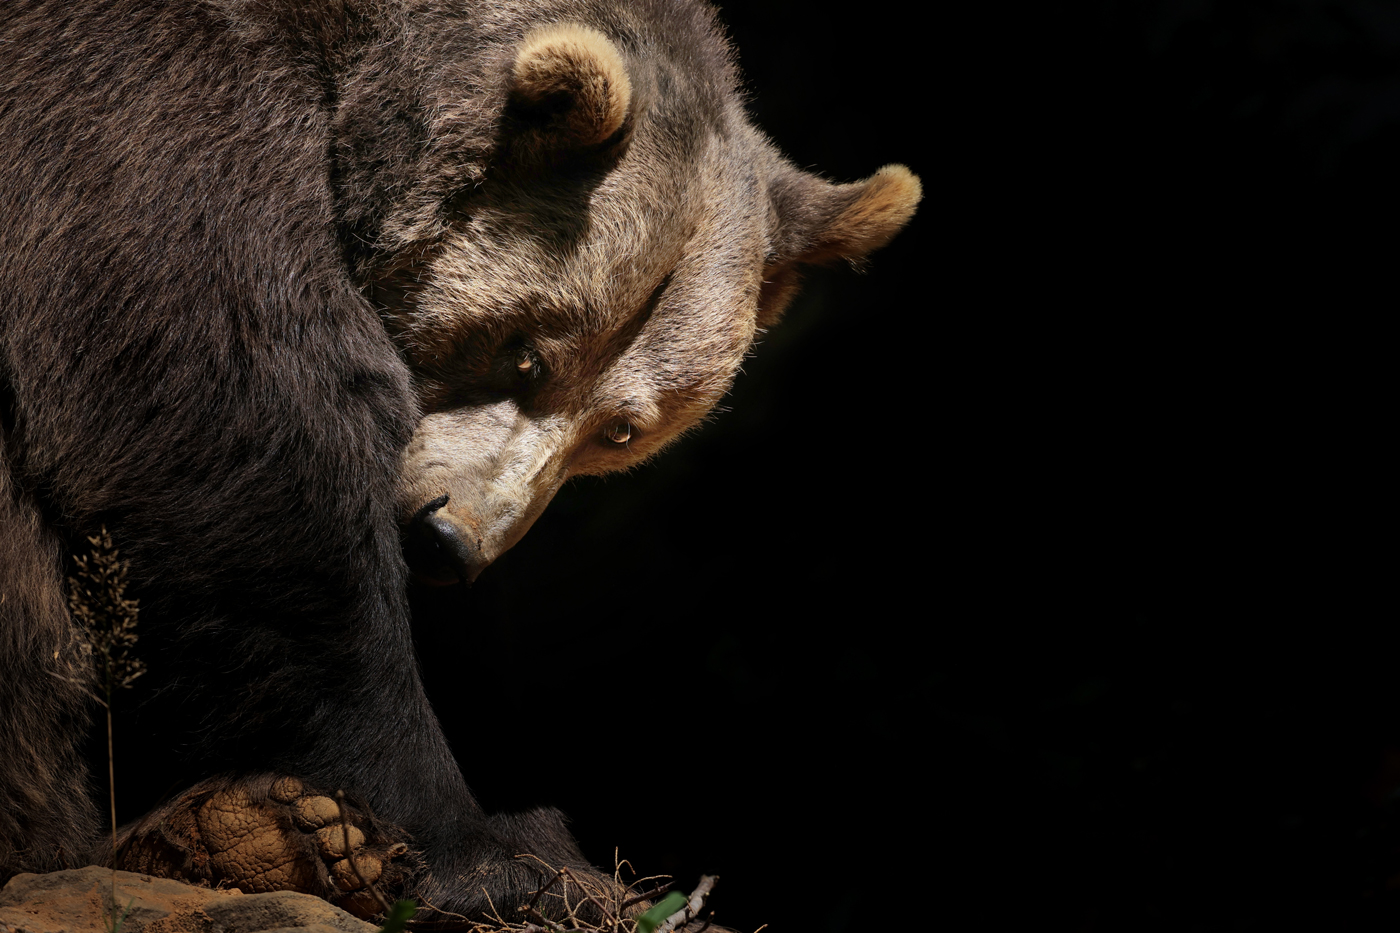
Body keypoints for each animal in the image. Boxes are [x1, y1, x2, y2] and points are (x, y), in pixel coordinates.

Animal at [0, 0, 920, 923]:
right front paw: (484, 847)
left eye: (621, 430)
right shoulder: (155, 118)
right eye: (529, 355)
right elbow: (252, 425)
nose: (451, 541)